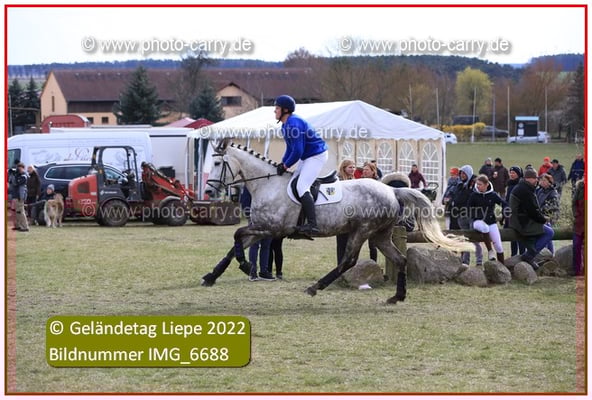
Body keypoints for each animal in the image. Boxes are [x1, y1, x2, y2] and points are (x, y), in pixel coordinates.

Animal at [201, 140, 472, 304]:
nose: (210, 191)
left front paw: (245, 265)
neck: (267, 183)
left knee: (349, 260)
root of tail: (392, 190)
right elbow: (234, 245)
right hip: (379, 235)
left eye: (217, 163)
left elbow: (237, 235)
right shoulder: (261, 229)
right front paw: (211, 276)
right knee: (399, 259)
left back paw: (316, 287)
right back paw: (397, 296)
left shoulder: (269, 228)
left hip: (362, 231)